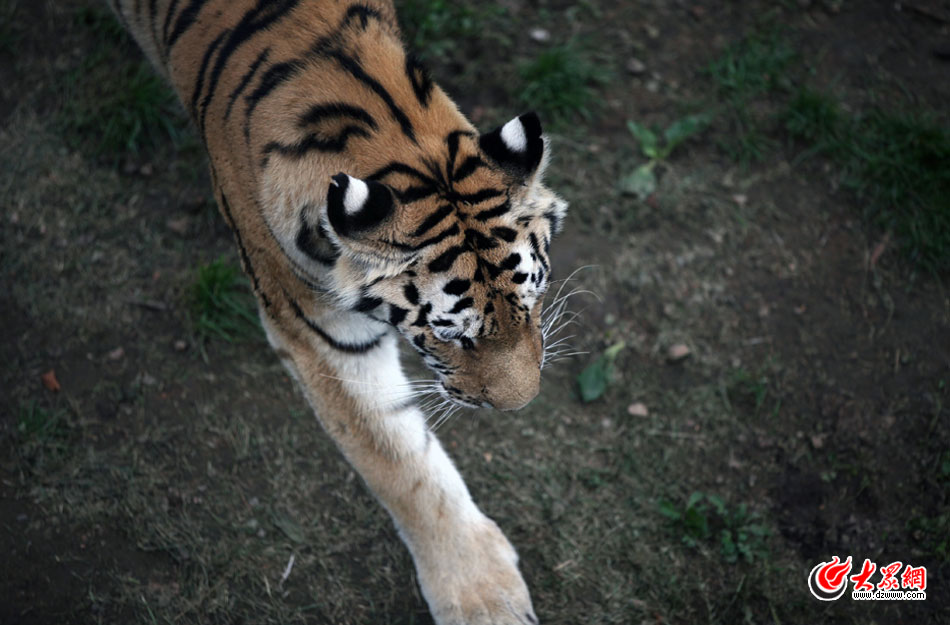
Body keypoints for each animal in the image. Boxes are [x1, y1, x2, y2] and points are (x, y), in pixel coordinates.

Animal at [108, 2, 568, 620]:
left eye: (533, 301)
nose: (521, 406)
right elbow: (398, 462)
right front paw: (482, 597)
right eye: (451, 336)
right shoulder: (318, 333)